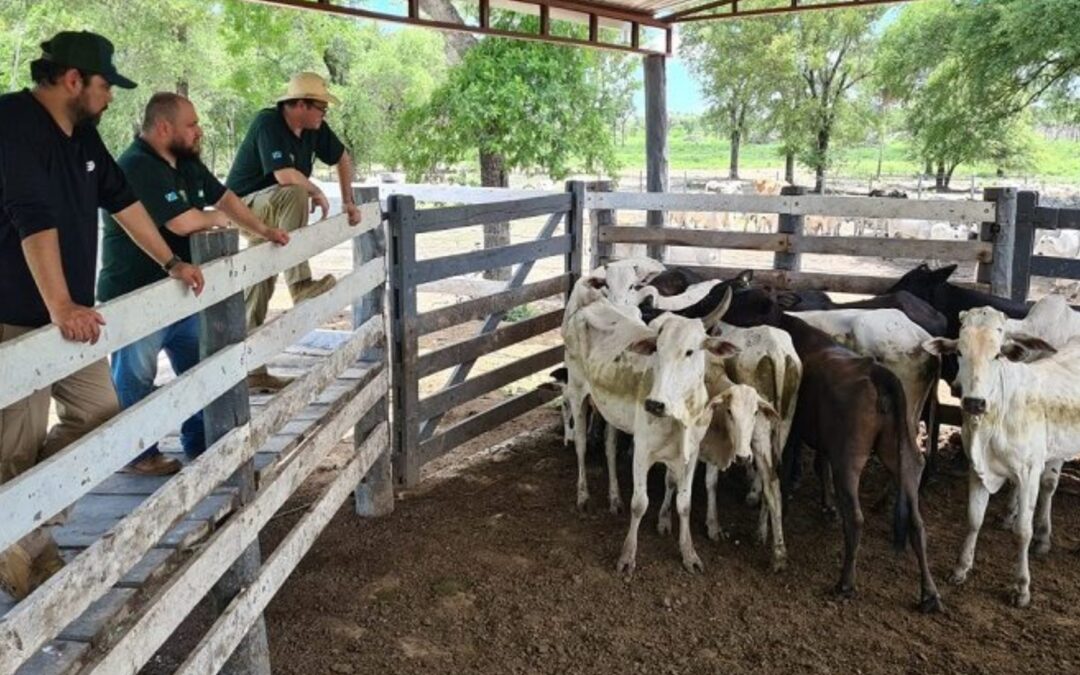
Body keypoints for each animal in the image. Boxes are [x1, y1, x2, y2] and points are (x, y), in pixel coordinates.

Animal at [920, 308, 1080, 609]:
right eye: (959, 351)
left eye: (997, 355)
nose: (974, 402)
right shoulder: (977, 469)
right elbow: (973, 518)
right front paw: (961, 569)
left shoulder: (1029, 471)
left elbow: (1022, 531)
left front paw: (1022, 587)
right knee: (1049, 484)